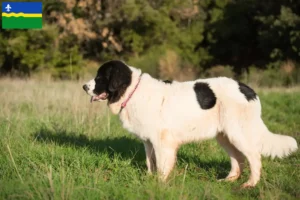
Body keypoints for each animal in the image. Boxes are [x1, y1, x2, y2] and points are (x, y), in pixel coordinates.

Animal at [82, 59, 298, 188]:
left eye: (100, 77)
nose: (84, 86)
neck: (131, 90)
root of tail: (248, 89)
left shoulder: (162, 142)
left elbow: (162, 165)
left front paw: (160, 184)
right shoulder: (148, 141)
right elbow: (150, 162)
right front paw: (150, 180)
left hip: (238, 132)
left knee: (254, 157)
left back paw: (250, 184)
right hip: (225, 136)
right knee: (238, 158)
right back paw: (229, 179)